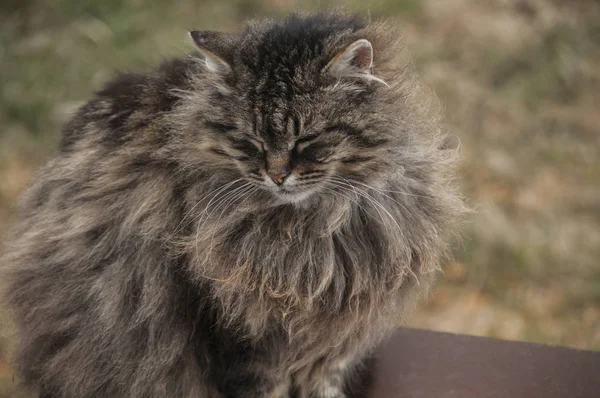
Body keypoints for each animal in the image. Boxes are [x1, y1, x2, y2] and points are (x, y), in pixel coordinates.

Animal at [0, 11, 464, 398]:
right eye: (250, 140)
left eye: (306, 141)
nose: (277, 175)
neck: (318, 230)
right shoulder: (240, 340)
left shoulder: (332, 343)